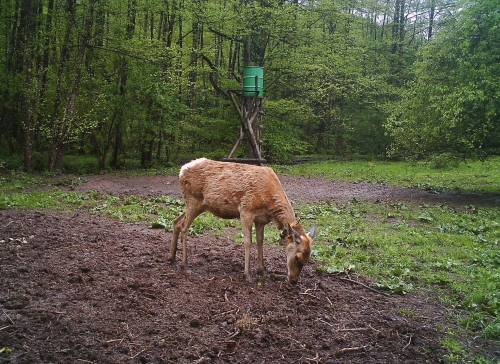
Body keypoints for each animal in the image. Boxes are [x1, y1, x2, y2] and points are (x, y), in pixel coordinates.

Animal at [169, 157, 316, 284]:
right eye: (298, 257)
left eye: (308, 259)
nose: (293, 281)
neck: (269, 204)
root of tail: (182, 170)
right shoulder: (246, 211)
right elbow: (247, 242)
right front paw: (247, 274)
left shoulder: (261, 220)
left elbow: (260, 241)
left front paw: (262, 270)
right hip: (194, 199)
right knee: (184, 227)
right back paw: (184, 265)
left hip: (199, 205)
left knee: (176, 222)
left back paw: (171, 258)